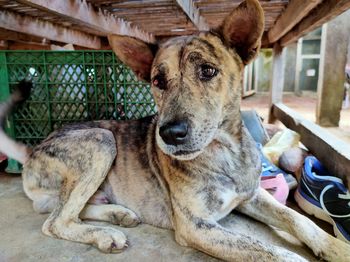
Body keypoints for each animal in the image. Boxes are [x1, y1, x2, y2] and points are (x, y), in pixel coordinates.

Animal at [0, 0, 350, 260]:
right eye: (158, 81)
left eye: (207, 71)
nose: (169, 134)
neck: (225, 152)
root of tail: (33, 150)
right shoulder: (196, 227)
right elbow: (272, 252)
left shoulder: (251, 195)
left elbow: (297, 218)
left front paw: (336, 247)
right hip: (101, 140)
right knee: (55, 222)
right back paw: (106, 234)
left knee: (66, 210)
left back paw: (117, 214)